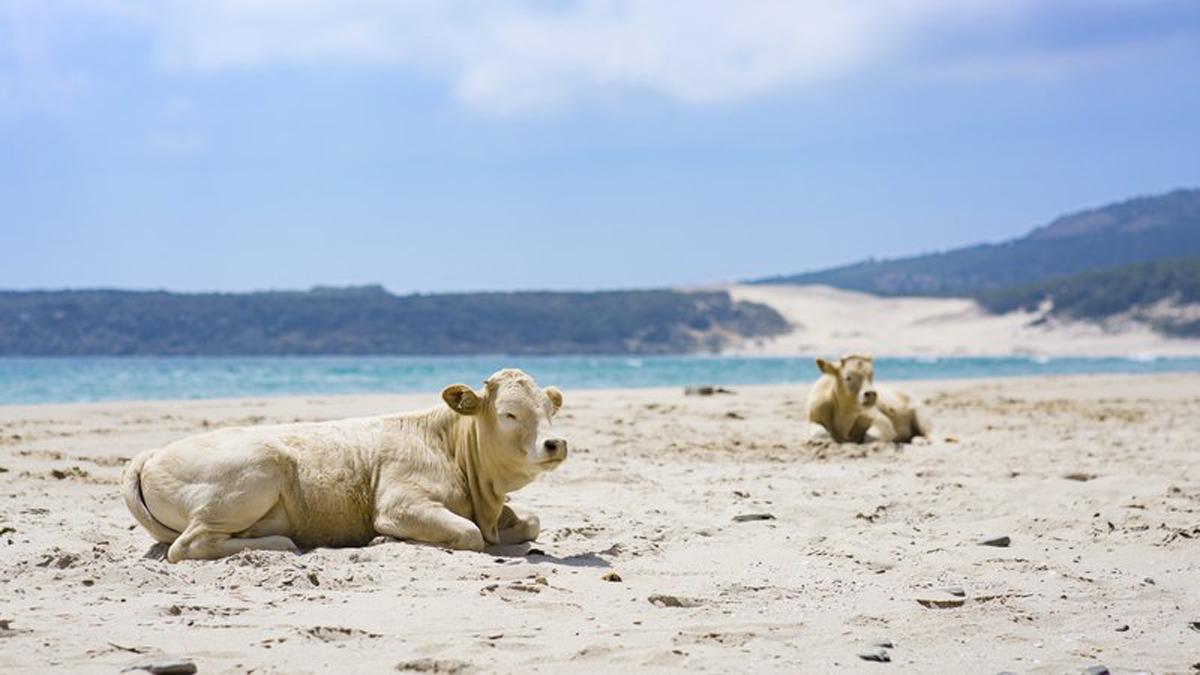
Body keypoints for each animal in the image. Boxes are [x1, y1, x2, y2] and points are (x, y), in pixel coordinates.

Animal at [121, 365, 566, 559]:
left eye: (549, 409)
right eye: (509, 414)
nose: (555, 443)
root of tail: (151, 454)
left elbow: (531, 522)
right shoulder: (400, 503)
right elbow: (469, 534)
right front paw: (387, 540)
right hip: (254, 474)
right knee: (188, 545)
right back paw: (283, 543)